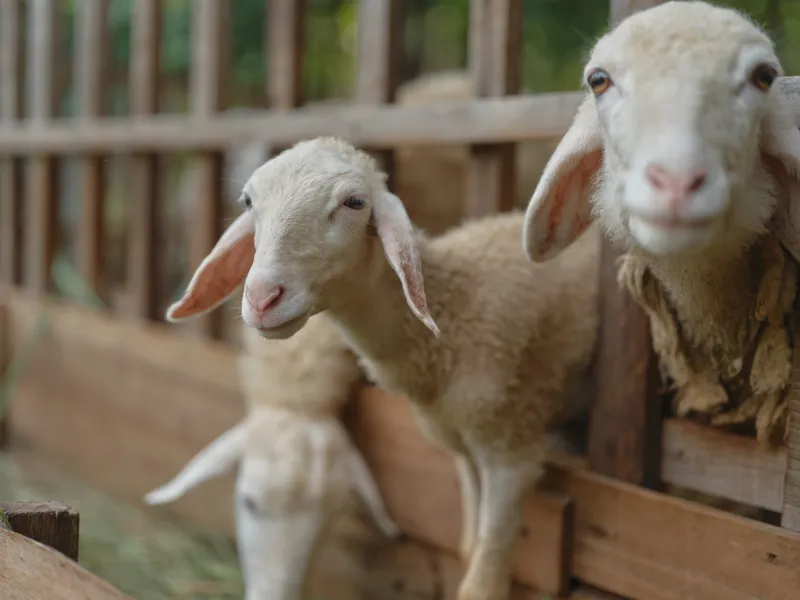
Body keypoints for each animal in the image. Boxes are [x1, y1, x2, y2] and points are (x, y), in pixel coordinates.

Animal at [162, 135, 599, 600]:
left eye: (355, 202)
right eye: (247, 201)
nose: (262, 298)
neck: (457, 308)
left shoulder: (513, 449)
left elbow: (482, 582)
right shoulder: (463, 448)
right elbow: (468, 548)